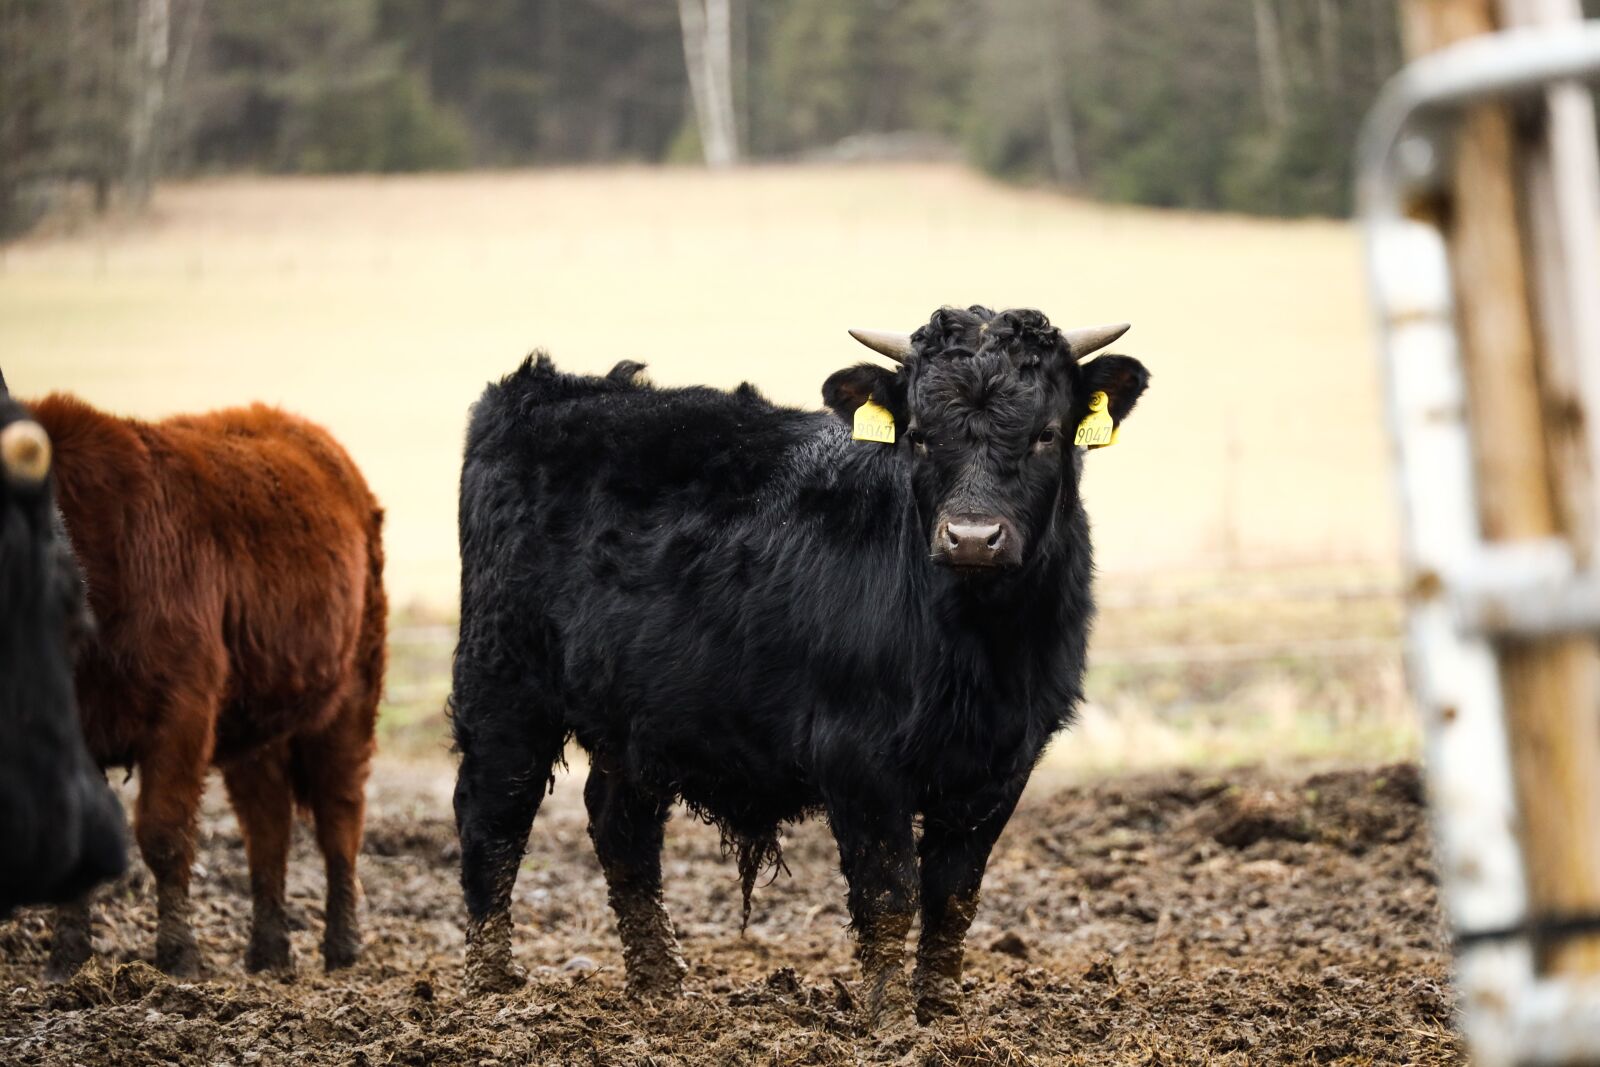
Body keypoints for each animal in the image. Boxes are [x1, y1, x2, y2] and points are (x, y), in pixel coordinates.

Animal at [29, 395, 385, 979]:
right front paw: (67, 955)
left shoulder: (182, 710)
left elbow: (165, 833)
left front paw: (179, 955)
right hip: (257, 723)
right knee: (267, 827)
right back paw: (268, 951)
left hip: (349, 701)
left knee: (339, 816)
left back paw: (343, 947)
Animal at [451, 303, 1152, 1030]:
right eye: (920, 437)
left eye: (1046, 434)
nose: (971, 538)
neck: (979, 648)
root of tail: (549, 386)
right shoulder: (857, 757)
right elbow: (889, 892)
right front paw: (892, 1023)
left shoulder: (1005, 761)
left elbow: (953, 895)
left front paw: (942, 1015)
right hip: (503, 683)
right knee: (493, 818)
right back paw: (491, 988)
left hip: (636, 714)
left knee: (621, 825)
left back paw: (661, 988)